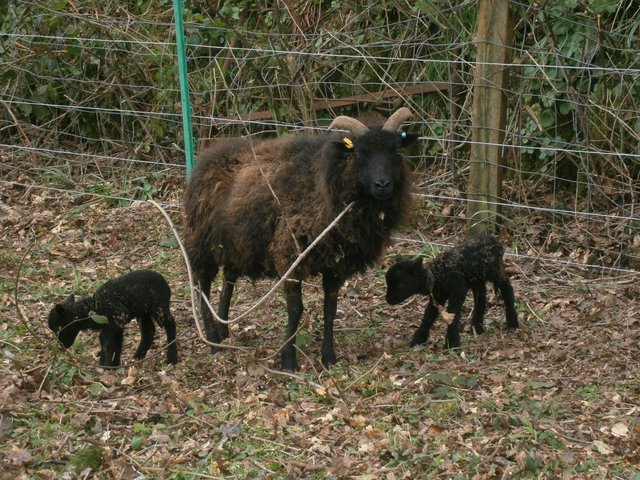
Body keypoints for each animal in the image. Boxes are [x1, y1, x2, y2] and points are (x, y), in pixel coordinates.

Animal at [47, 270, 178, 367]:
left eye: (57, 327)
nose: (62, 346)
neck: (95, 308)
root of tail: (164, 281)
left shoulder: (119, 316)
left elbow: (104, 338)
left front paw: (103, 365)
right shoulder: (117, 325)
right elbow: (117, 345)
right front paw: (114, 365)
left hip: (159, 306)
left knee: (170, 323)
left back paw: (172, 357)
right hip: (143, 312)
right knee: (149, 331)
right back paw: (137, 357)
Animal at [184, 108, 418, 371]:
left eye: (396, 152)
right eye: (359, 154)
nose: (383, 185)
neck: (326, 184)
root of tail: (208, 155)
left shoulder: (335, 265)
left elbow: (330, 310)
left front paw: (329, 358)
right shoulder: (290, 257)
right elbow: (295, 310)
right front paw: (288, 361)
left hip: (236, 243)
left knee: (229, 279)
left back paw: (223, 329)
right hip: (202, 242)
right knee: (202, 286)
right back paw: (213, 342)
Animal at [385, 234, 519, 349]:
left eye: (401, 284)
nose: (388, 300)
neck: (437, 275)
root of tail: (493, 239)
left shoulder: (458, 290)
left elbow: (452, 313)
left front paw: (452, 343)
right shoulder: (438, 297)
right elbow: (428, 316)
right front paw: (418, 340)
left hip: (495, 270)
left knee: (507, 289)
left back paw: (513, 323)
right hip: (476, 278)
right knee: (481, 298)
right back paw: (477, 328)